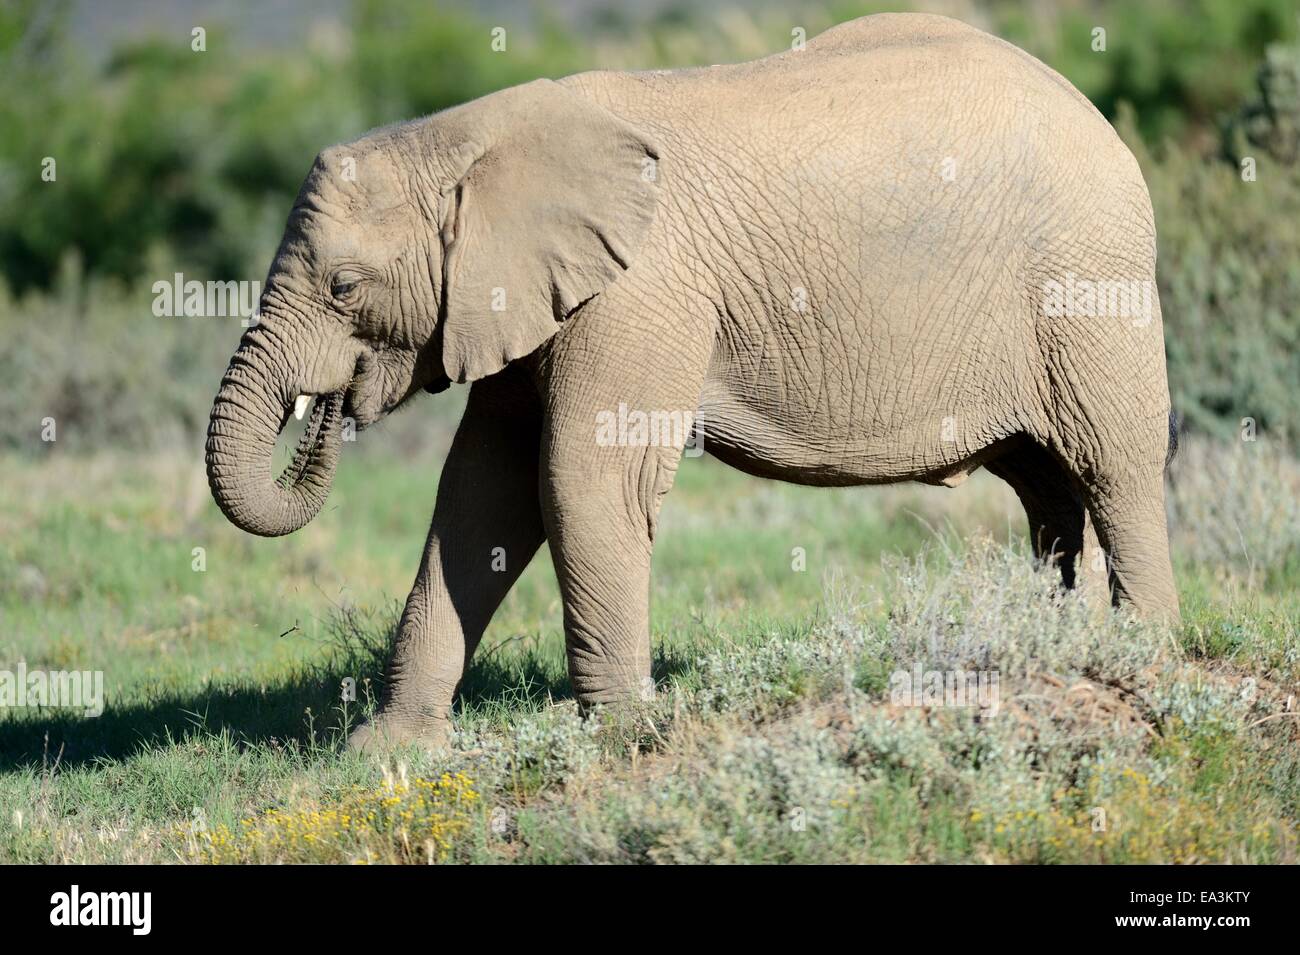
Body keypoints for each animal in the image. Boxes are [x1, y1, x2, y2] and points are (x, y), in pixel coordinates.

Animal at [202, 11, 1180, 748]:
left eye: (343, 286)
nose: (328, 408)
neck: (471, 135)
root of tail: (1098, 115)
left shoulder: (639, 292)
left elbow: (581, 480)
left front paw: (619, 735)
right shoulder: (530, 297)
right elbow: (482, 493)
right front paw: (386, 753)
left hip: (1089, 289)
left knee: (1114, 470)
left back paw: (1149, 663)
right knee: (1047, 489)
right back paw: (1051, 641)